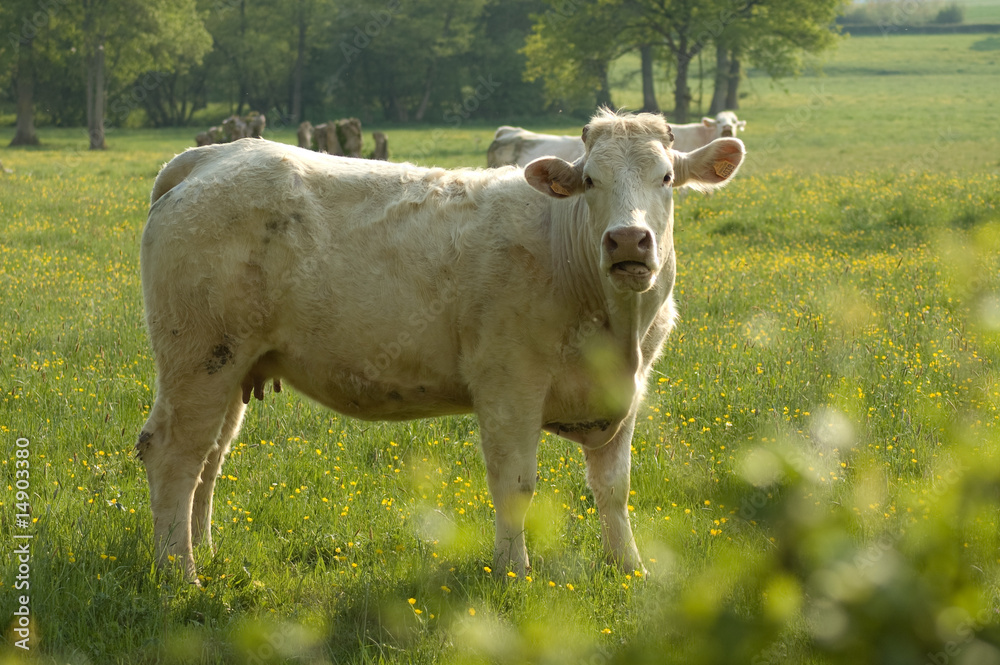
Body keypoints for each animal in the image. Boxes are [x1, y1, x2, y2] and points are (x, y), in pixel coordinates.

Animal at [137, 110, 745, 582]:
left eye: (665, 177)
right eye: (591, 180)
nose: (627, 240)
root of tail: (215, 155)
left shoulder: (627, 392)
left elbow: (614, 488)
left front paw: (629, 567)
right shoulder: (508, 385)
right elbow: (515, 484)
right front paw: (513, 572)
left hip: (233, 366)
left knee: (211, 458)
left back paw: (202, 551)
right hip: (198, 356)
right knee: (174, 452)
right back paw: (179, 572)